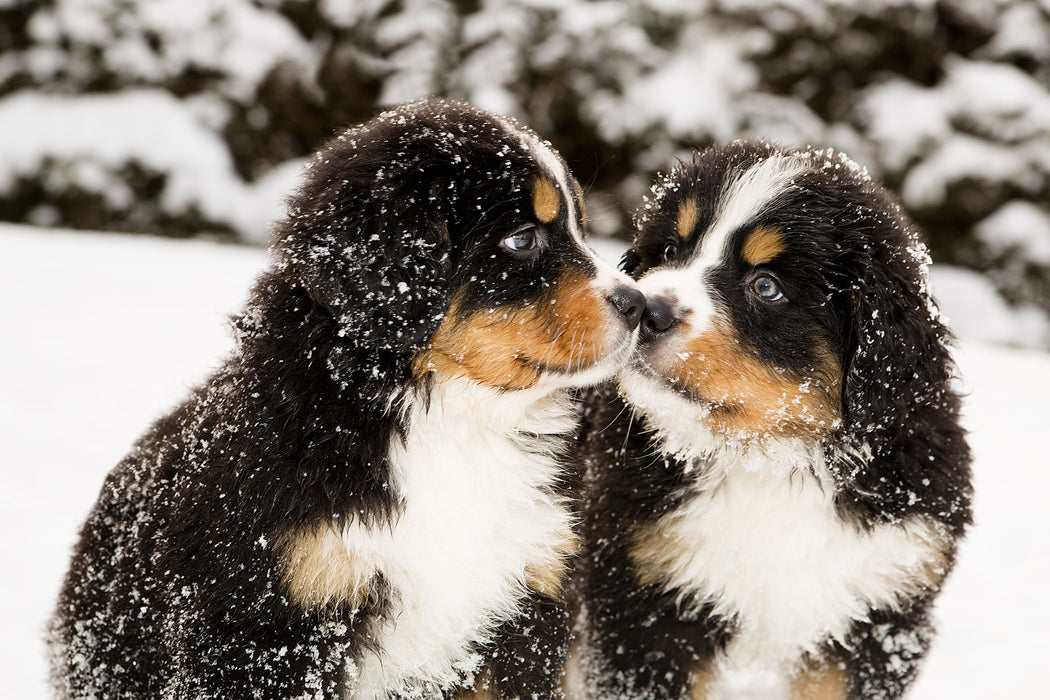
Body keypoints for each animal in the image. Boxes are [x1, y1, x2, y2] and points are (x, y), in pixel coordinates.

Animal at [49, 98, 642, 700]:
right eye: (523, 239)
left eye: (581, 227)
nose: (638, 304)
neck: (452, 421)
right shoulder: (271, 624)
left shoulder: (526, 605)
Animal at [579, 139, 970, 696]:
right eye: (671, 250)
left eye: (766, 287)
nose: (647, 308)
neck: (768, 460)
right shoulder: (645, 602)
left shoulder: (881, 611)